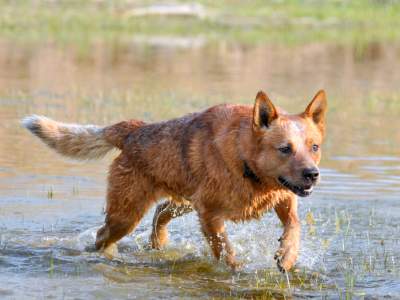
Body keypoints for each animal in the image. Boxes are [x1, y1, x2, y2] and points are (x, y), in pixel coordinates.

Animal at [21, 90, 326, 274]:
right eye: (285, 148)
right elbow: (225, 250)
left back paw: (158, 242)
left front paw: (286, 256)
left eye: (314, 147)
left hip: (185, 200)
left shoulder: (284, 197)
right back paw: (108, 255)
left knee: (161, 211)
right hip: (128, 213)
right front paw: (236, 271)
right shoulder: (210, 215)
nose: (312, 174)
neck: (246, 164)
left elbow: (294, 226)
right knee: (102, 234)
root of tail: (132, 130)